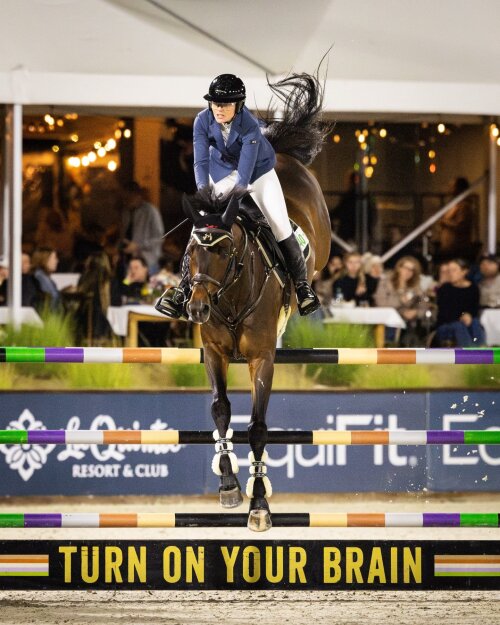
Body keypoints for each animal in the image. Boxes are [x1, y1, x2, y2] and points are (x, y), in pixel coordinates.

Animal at [181, 73, 332, 531]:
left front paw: (260, 504)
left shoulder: (262, 357)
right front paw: (229, 485)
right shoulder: (214, 352)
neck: (229, 296)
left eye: (226, 251)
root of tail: (281, 154)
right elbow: (220, 411)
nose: (196, 308)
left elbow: (259, 427)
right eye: (190, 251)